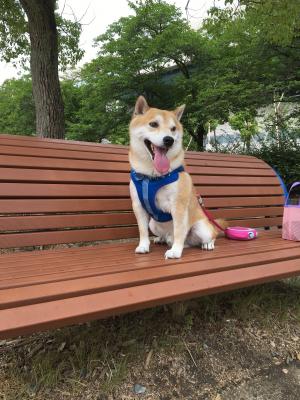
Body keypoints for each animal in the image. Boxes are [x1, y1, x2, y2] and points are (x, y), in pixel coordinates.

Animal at [127, 97, 224, 260]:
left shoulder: (178, 206)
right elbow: (142, 231)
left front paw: (176, 251)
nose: (169, 140)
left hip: (201, 228)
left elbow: (179, 231)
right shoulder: (138, 206)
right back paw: (161, 239)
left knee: (211, 234)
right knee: (165, 235)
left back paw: (207, 244)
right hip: (153, 224)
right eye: (153, 124)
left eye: (173, 129)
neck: (152, 177)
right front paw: (143, 246)